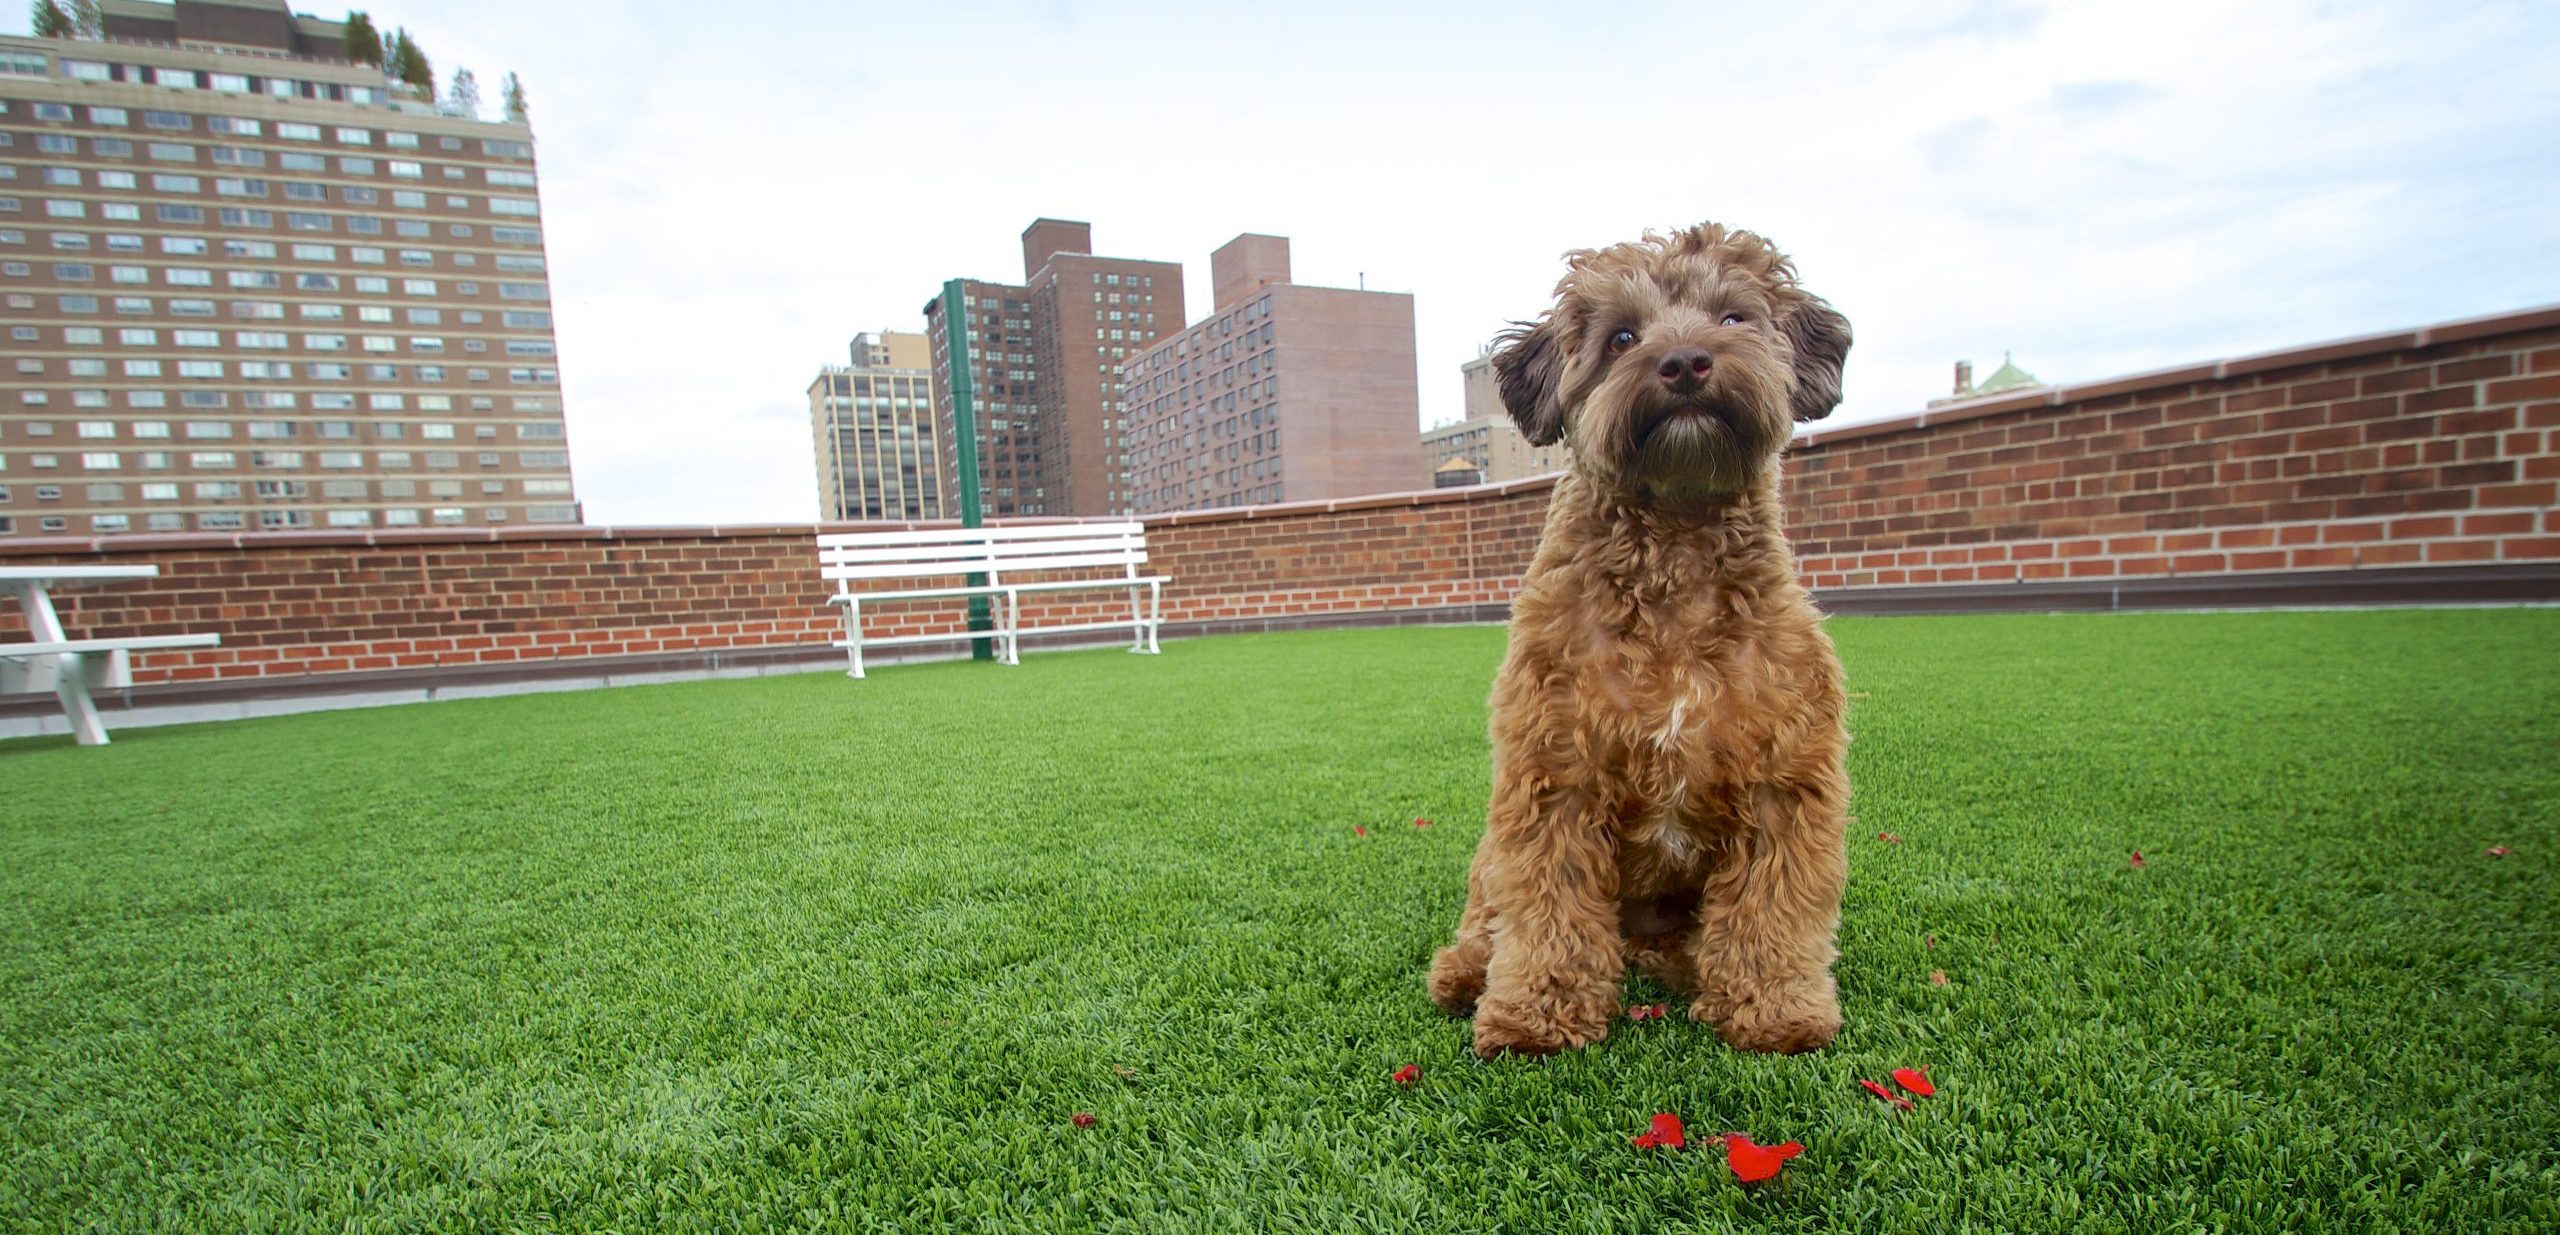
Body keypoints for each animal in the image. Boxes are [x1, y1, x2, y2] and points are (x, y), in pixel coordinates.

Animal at [1423, 221, 1863, 1060]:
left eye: (1733, 317)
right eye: (1622, 336)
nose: (1686, 361)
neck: (1677, 554)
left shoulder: (1785, 778)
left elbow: (1773, 904)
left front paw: (1774, 1008)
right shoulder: (1554, 773)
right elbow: (1550, 907)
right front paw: (1536, 1014)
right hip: (1490, 856)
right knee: (1486, 914)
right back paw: (1466, 973)